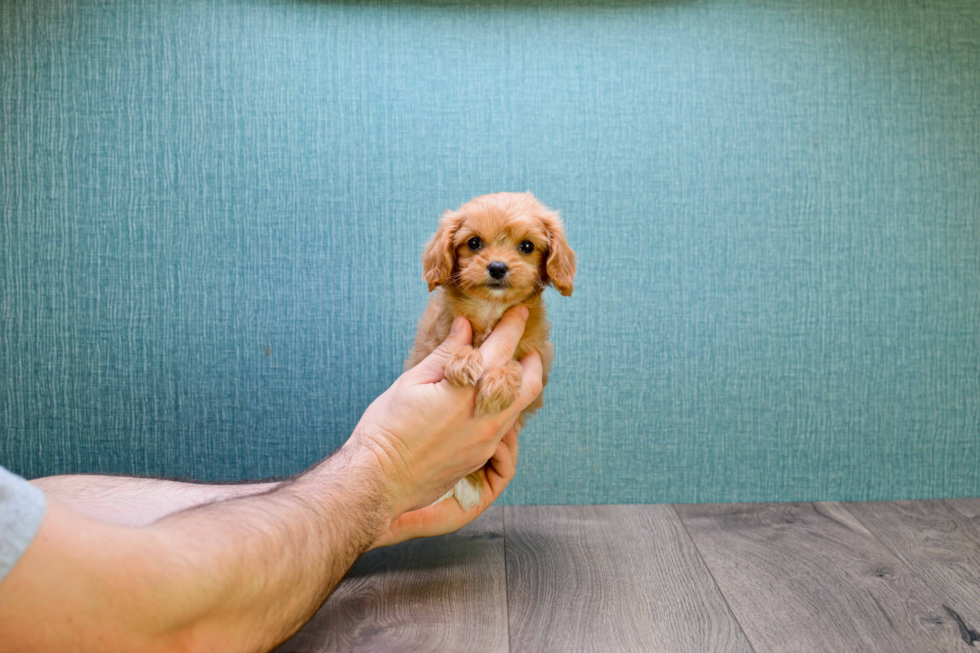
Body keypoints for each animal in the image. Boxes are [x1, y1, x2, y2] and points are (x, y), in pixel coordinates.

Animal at [404, 192, 576, 510]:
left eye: (526, 246)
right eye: (474, 243)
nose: (497, 267)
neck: (490, 307)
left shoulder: (537, 358)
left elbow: (515, 363)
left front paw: (497, 384)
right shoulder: (431, 346)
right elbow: (461, 347)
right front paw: (463, 361)